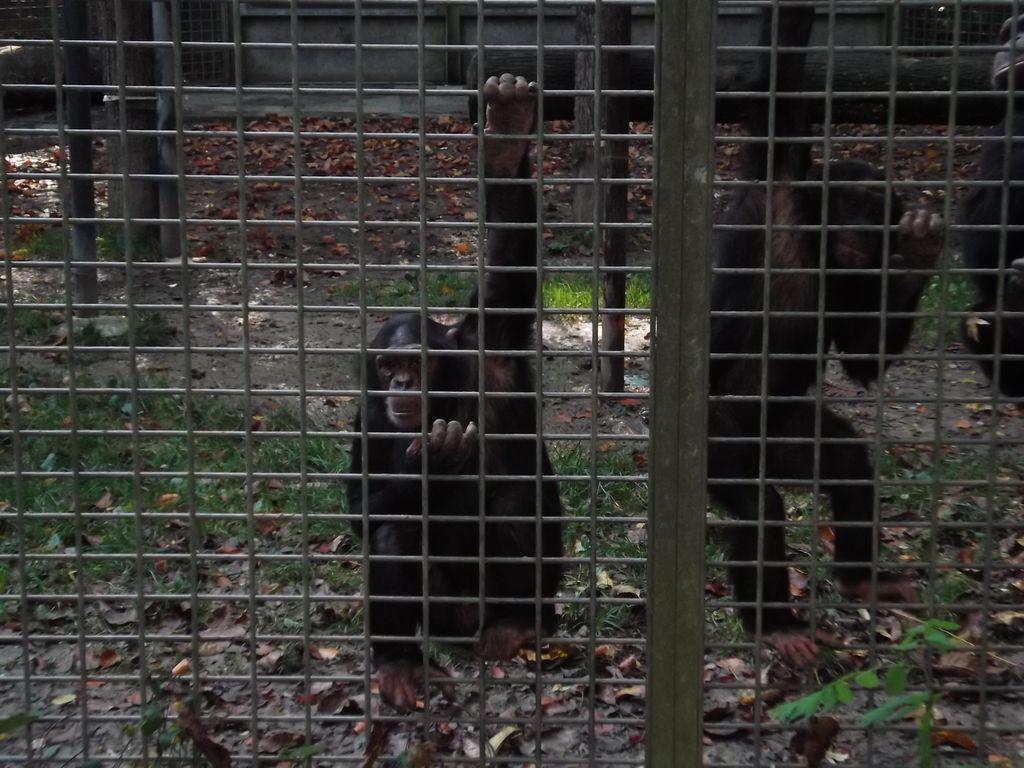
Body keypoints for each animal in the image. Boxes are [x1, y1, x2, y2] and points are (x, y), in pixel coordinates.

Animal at [348, 75, 565, 712]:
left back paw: (516, 622)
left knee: (513, 500)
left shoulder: (491, 346)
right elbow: (360, 507)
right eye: (387, 365)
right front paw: (434, 467)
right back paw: (400, 664)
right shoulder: (366, 417)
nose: (400, 382)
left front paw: (507, 140)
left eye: (412, 363)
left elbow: (508, 266)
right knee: (395, 535)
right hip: (445, 619)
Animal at [708, 0, 937, 663]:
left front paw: (915, 258)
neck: (817, 247)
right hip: (718, 434)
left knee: (849, 463)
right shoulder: (778, 182)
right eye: (856, 205)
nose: (865, 233)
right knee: (759, 506)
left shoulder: (855, 288)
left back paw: (862, 578)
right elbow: (780, 78)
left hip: (789, 434)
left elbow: (862, 360)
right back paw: (775, 623)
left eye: (880, 216)